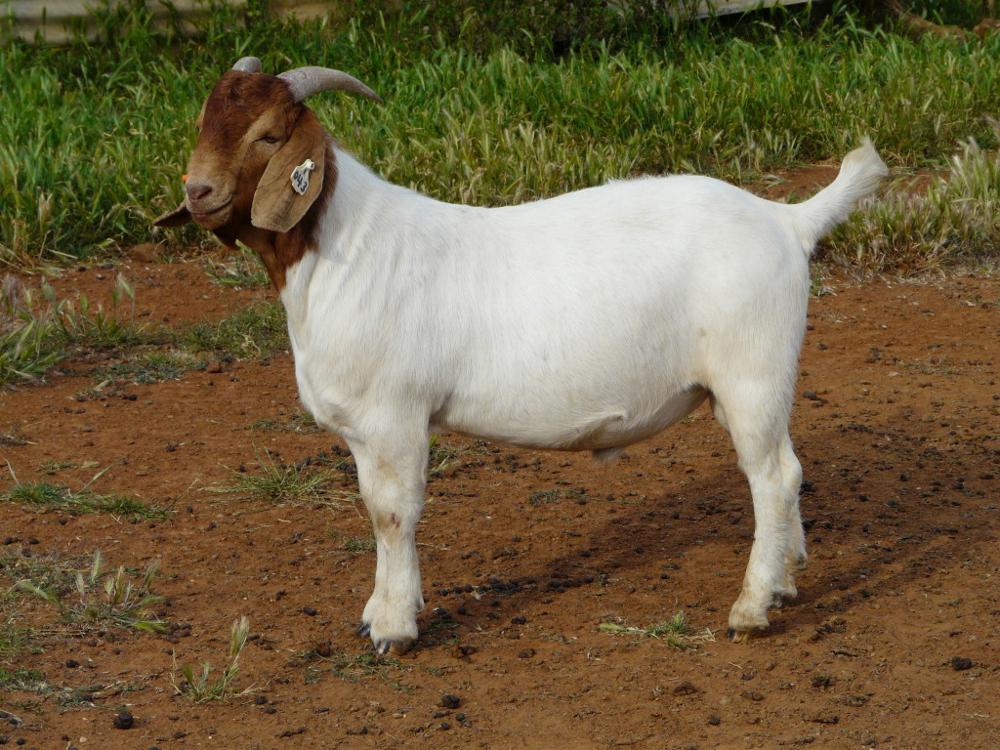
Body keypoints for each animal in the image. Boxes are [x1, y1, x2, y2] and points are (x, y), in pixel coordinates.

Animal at [155, 56, 888, 654]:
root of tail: (787, 220)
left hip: (752, 369)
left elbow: (393, 514)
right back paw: (786, 580)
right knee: (785, 467)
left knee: (774, 477)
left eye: (268, 136)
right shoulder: (362, 432)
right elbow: (373, 510)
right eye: (202, 122)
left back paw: (752, 608)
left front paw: (395, 628)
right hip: (751, 381)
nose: (198, 193)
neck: (346, 247)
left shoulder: (394, 417)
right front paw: (376, 613)